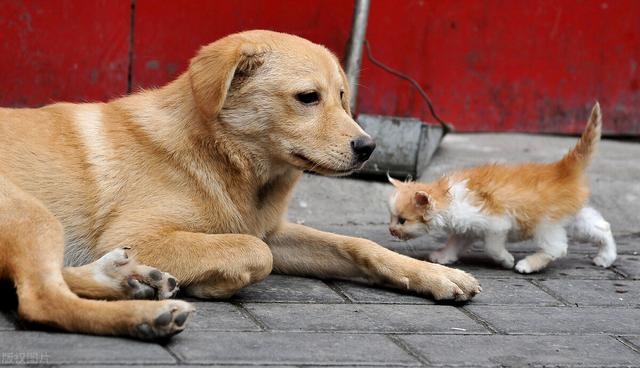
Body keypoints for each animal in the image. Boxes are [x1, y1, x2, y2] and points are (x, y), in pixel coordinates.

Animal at [384, 103, 616, 274]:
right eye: (392, 218)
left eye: (402, 220)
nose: (391, 230)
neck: (447, 197)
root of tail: (562, 169)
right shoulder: (467, 227)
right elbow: (455, 243)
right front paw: (443, 256)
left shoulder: (496, 223)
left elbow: (492, 247)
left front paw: (505, 260)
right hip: (572, 216)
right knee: (602, 226)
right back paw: (606, 257)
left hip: (545, 224)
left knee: (556, 248)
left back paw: (528, 264)